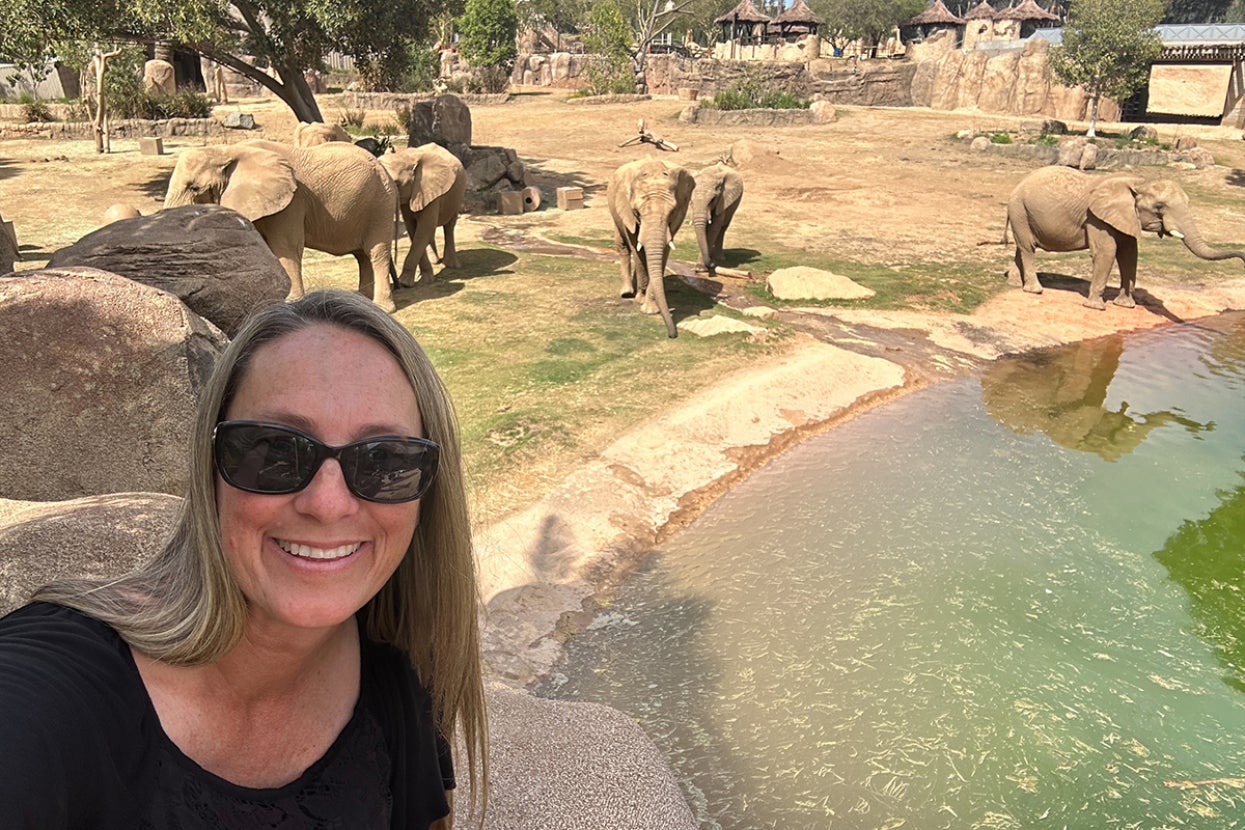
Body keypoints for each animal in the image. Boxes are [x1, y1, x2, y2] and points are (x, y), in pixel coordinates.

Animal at [163, 139, 399, 311]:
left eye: (194, 188)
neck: (226, 150)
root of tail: (383, 167)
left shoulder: (292, 201)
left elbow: (286, 247)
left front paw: (289, 303)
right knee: (361, 255)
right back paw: (361, 300)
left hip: (381, 203)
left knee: (376, 252)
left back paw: (383, 309)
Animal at [378, 144, 466, 286]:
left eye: (396, 184)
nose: (397, 286)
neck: (406, 156)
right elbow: (413, 228)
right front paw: (424, 278)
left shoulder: (430, 190)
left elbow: (424, 228)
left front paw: (406, 282)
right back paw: (436, 261)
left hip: (457, 195)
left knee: (449, 227)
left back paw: (452, 265)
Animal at [607, 157, 696, 339]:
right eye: (636, 212)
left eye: (672, 212)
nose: (672, 335)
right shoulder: (627, 212)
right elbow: (637, 249)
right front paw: (640, 301)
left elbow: (663, 253)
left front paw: (650, 309)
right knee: (623, 246)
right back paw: (627, 293)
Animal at [1004, 166, 1245, 310]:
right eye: (1159, 206)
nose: (1243, 261)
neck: (1140, 182)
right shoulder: (1096, 218)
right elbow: (1107, 252)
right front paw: (1096, 308)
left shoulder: (1126, 217)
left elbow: (1130, 253)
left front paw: (1126, 305)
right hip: (1019, 208)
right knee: (1028, 247)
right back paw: (1035, 290)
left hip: (1022, 212)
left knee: (1022, 247)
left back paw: (1016, 282)